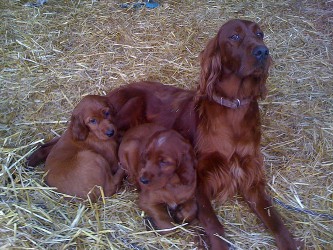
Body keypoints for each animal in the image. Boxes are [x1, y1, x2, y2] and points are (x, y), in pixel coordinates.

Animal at [106, 20, 298, 250]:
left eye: (260, 34)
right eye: (234, 36)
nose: (263, 51)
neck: (234, 107)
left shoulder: (249, 176)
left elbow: (275, 220)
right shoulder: (200, 178)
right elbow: (213, 224)